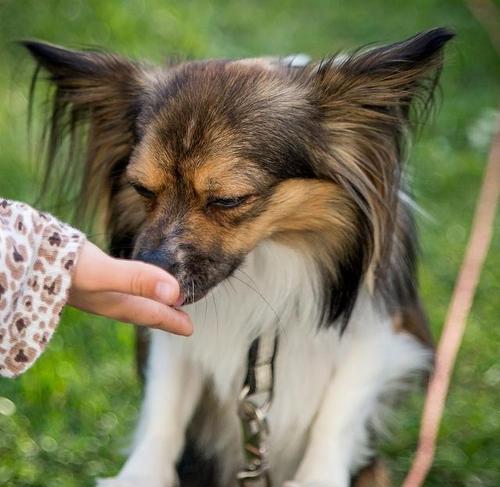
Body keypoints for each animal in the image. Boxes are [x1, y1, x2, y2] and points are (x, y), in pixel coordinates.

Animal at [22, 27, 454, 487]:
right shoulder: (174, 346)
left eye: (228, 200)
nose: (151, 270)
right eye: (141, 189)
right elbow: (165, 405)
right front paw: (142, 473)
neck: (268, 256)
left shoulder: (383, 333)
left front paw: (317, 475)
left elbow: (339, 408)